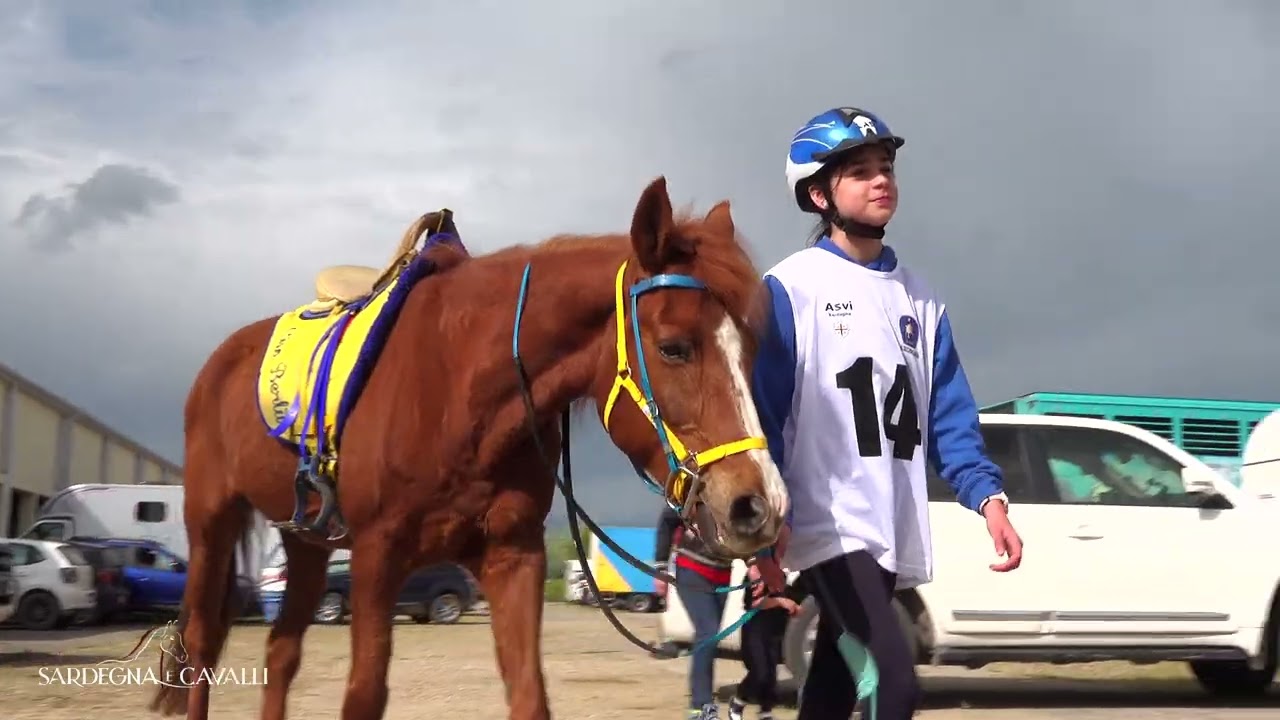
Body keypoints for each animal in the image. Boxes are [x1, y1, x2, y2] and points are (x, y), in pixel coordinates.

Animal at [146, 176, 789, 720]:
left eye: (752, 350)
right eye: (675, 347)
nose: (760, 506)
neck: (461, 392)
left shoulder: (513, 557)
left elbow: (529, 695)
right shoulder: (376, 557)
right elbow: (363, 695)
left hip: (306, 541)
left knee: (281, 651)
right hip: (211, 521)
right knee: (203, 645)